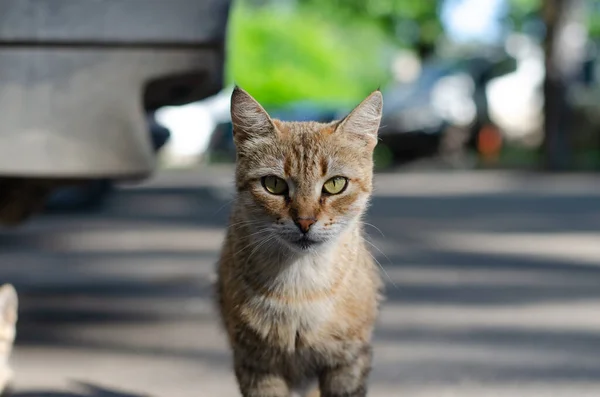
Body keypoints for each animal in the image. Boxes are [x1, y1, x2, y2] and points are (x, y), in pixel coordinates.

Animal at [216, 87, 384, 396]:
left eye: (335, 184)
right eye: (273, 184)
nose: (305, 222)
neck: (301, 288)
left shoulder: (348, 361)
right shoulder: (257, 365)